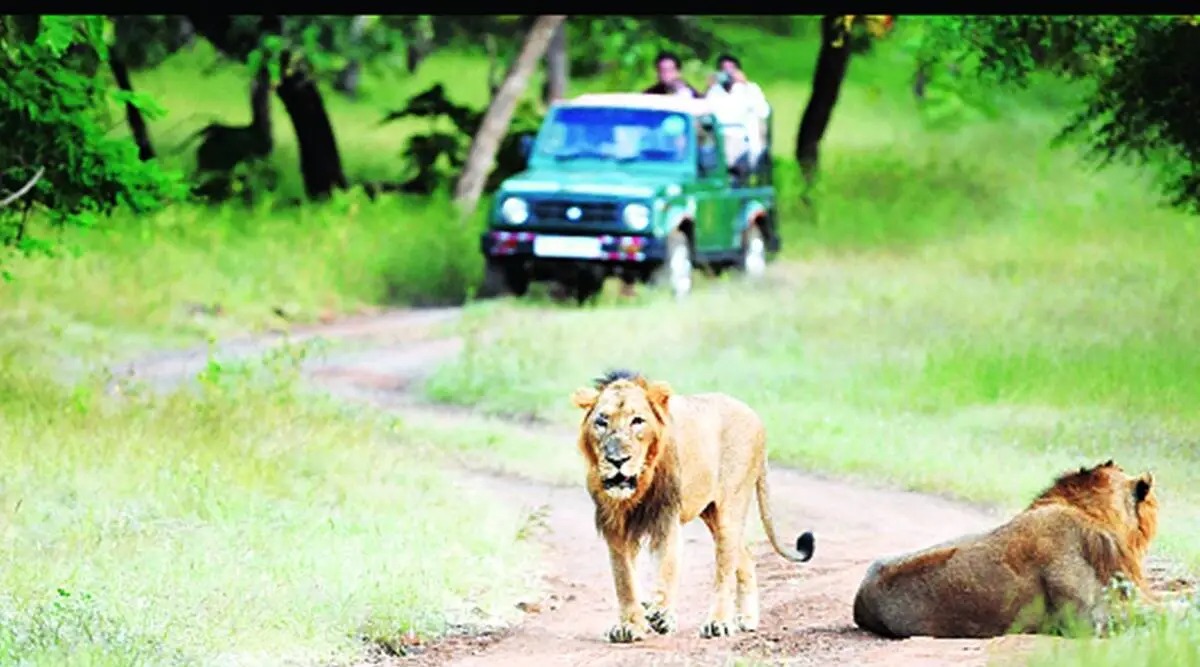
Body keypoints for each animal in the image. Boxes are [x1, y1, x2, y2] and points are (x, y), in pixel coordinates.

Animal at [568, 367, 816, 643]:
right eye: (601, 422)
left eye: (637, 421)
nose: (617, 460)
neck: (640, 484)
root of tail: (756, 418)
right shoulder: (615, 525)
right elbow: (624, 579)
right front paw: (631, 625)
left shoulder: (666, 517)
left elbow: (667, 566)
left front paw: (661, 614)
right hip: (710, 513)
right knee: (745, 557)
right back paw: (748, 618)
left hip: (729, 510)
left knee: (725, 570)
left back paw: (718, 623)